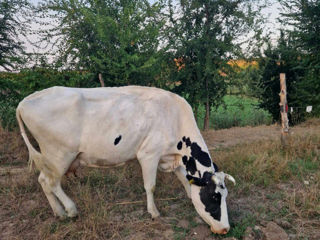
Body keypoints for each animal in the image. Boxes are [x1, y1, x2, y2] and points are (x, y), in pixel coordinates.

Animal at [16, 86, 235, 234]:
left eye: (225, 195)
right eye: (214, 196)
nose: (225, 229)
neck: (174, 116)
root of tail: (26, 100)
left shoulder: (173, 158)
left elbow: (185, 182)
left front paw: (190, 197)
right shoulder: (148, 154)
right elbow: (150, 186)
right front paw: (153, 212)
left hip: (51, 158)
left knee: (43, 181)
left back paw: (58, 212)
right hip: (59, 155)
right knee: (51, 182)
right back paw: (70, 209)